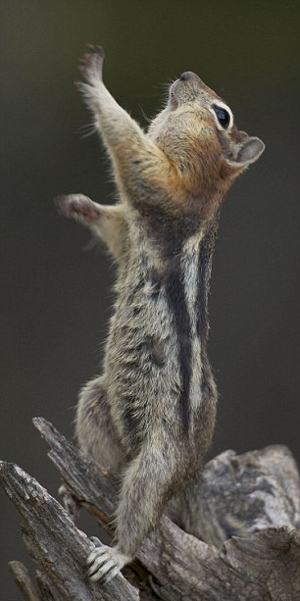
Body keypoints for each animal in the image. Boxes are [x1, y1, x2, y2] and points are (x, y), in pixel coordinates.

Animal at [56, 48, 264, 584]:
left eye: (222, 115)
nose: (187, 73)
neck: (211, 188)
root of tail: (191, 474)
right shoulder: (131, 230)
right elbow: (114, 225)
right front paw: (79, 204)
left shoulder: (169, 188)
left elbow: (132, 153)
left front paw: (94, 81)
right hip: (97, 403)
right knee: (108, 468)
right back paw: (74, 490)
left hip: (160, 458)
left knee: (143, 509)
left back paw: (116, 554)